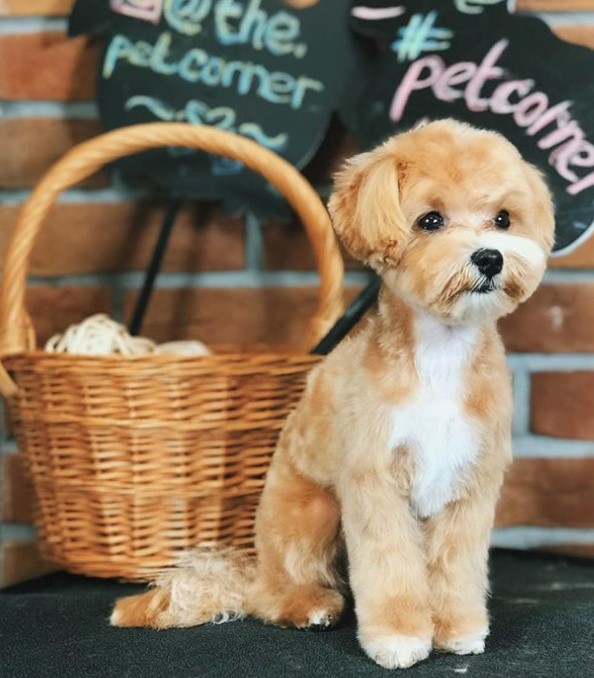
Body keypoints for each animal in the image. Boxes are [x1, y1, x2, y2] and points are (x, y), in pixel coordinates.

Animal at [112, 121, 556, 668]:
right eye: (430, 220)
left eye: (503, 219)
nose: (490, 257)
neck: (439, 355)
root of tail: (255, 569)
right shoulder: (376, 483)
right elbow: (389, 565)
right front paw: (398, 638)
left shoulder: (469, 484)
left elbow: (457, 566)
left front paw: (458, 629)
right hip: (311, 514)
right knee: (275, 592)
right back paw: (311, 606)